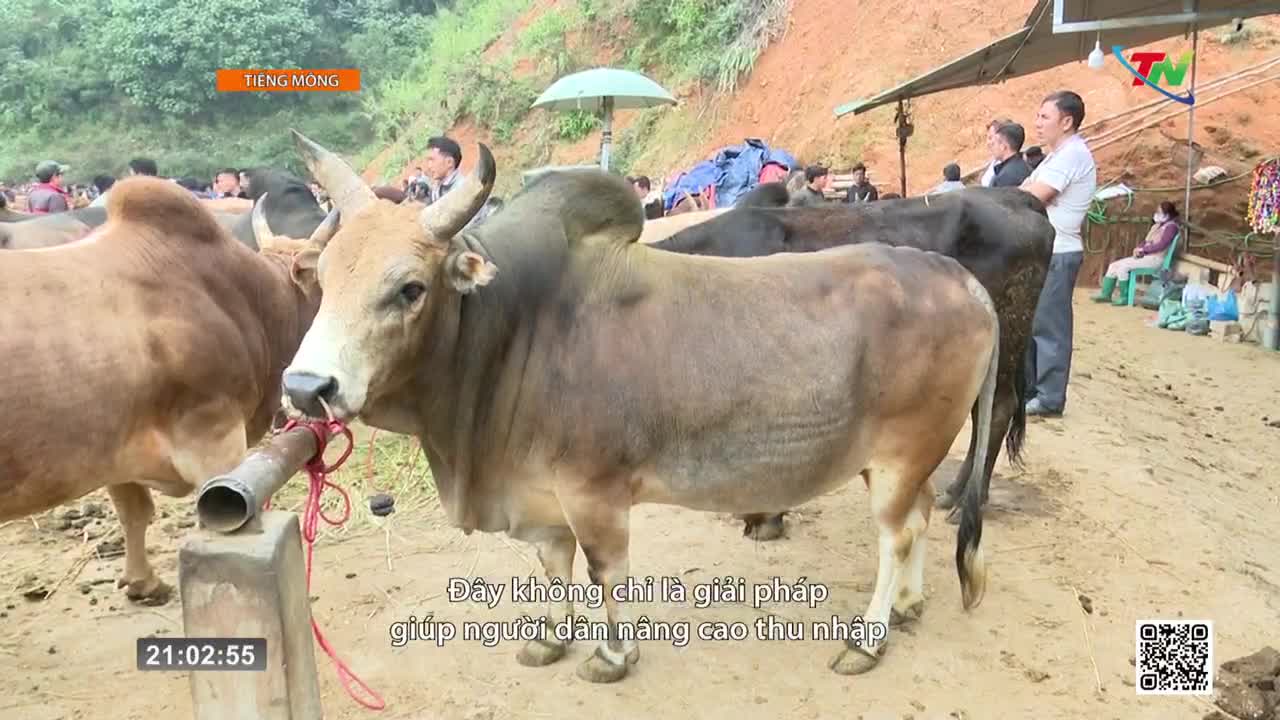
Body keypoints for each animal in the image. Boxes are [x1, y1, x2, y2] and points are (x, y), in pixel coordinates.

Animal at [277, 130, 999, 682]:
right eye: (323, 277)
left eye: (410, 288)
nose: (308, 387)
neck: (517, 327)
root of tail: (960, 280)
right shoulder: (541, 496)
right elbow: (554, 566)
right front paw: (551, 637)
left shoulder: (594, 490)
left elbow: (605, 571)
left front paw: (610, 654)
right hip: (900, 459)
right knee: (921, 518)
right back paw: (907, 604)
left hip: (904, 450)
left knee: (895, 534)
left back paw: (868, 639)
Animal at [647, 187, 1054, 540]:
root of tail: (1015, 196)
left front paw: (766, 518)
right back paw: (954, 492)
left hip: (1009, 330)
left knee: (998, 409)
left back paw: (968, 500)